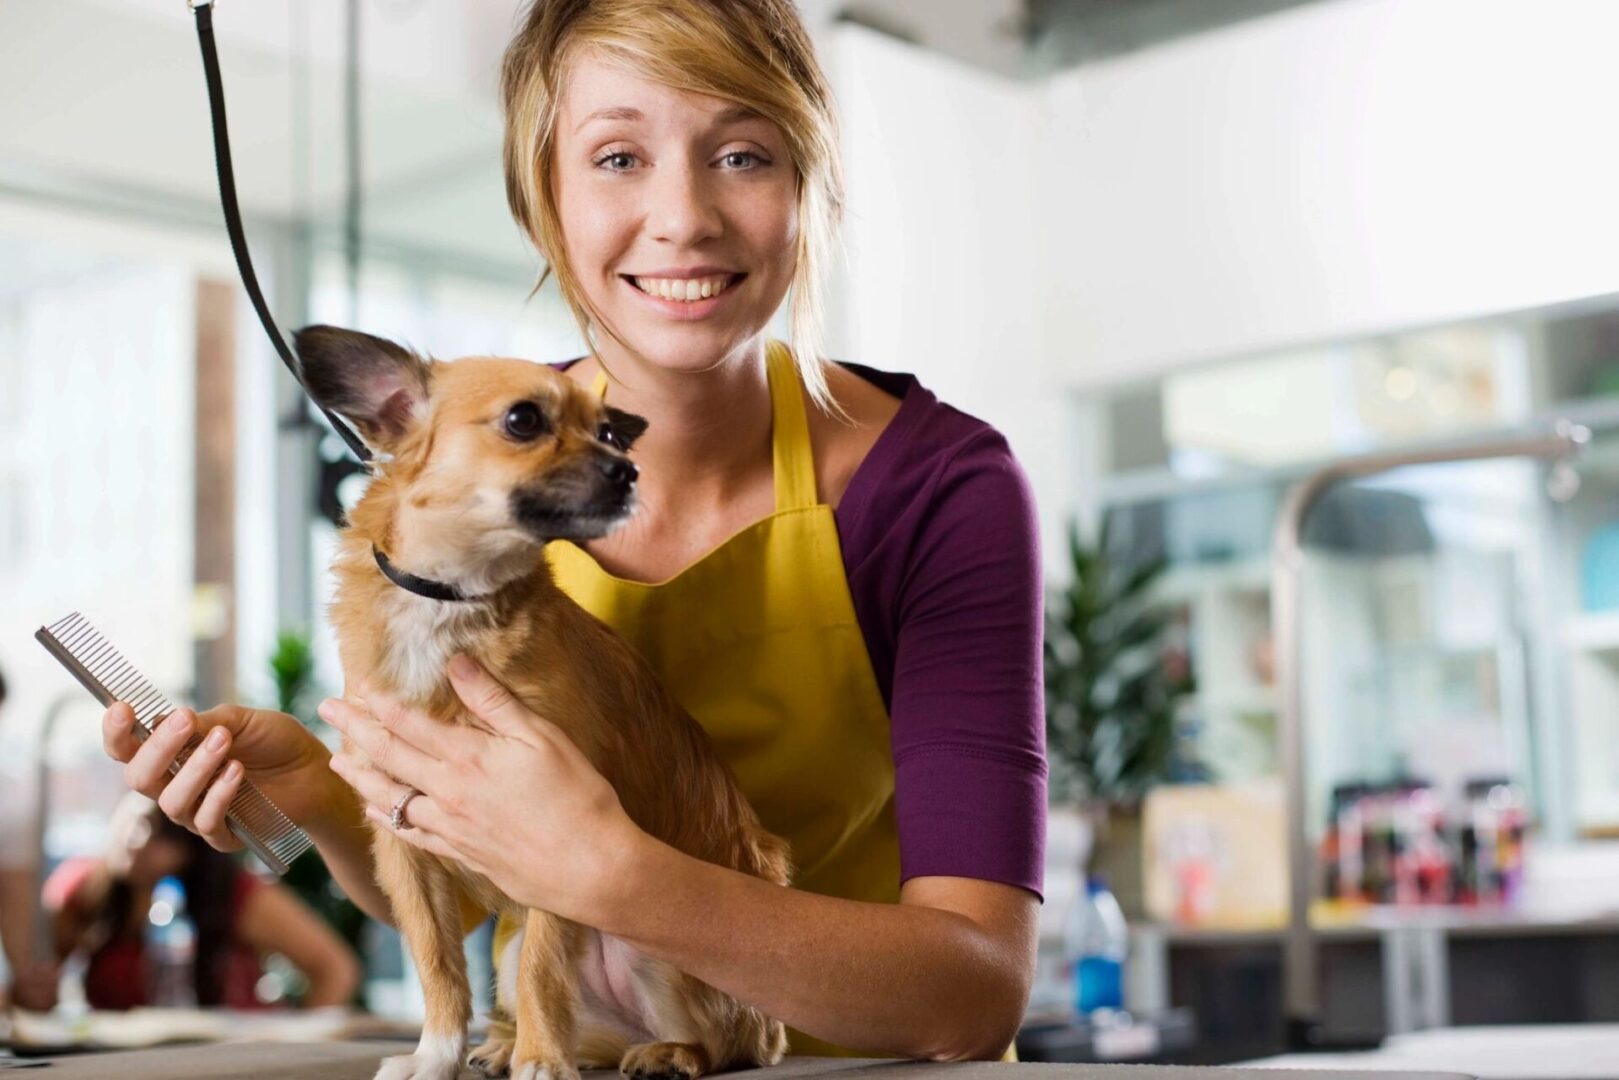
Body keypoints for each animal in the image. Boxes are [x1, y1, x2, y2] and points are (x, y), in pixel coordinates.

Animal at [299, 325, 796, 1080]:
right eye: (523, 421)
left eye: (608, 433)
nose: (628, 471)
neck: (450, 603)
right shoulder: (404, 850)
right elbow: (438, 965)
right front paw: (436, 1053)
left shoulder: (549, 846)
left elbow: (542, 966)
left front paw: (541, 1061)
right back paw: (508, 1046)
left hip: (663, 956)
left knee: (726, 1044)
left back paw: (658, 1051)